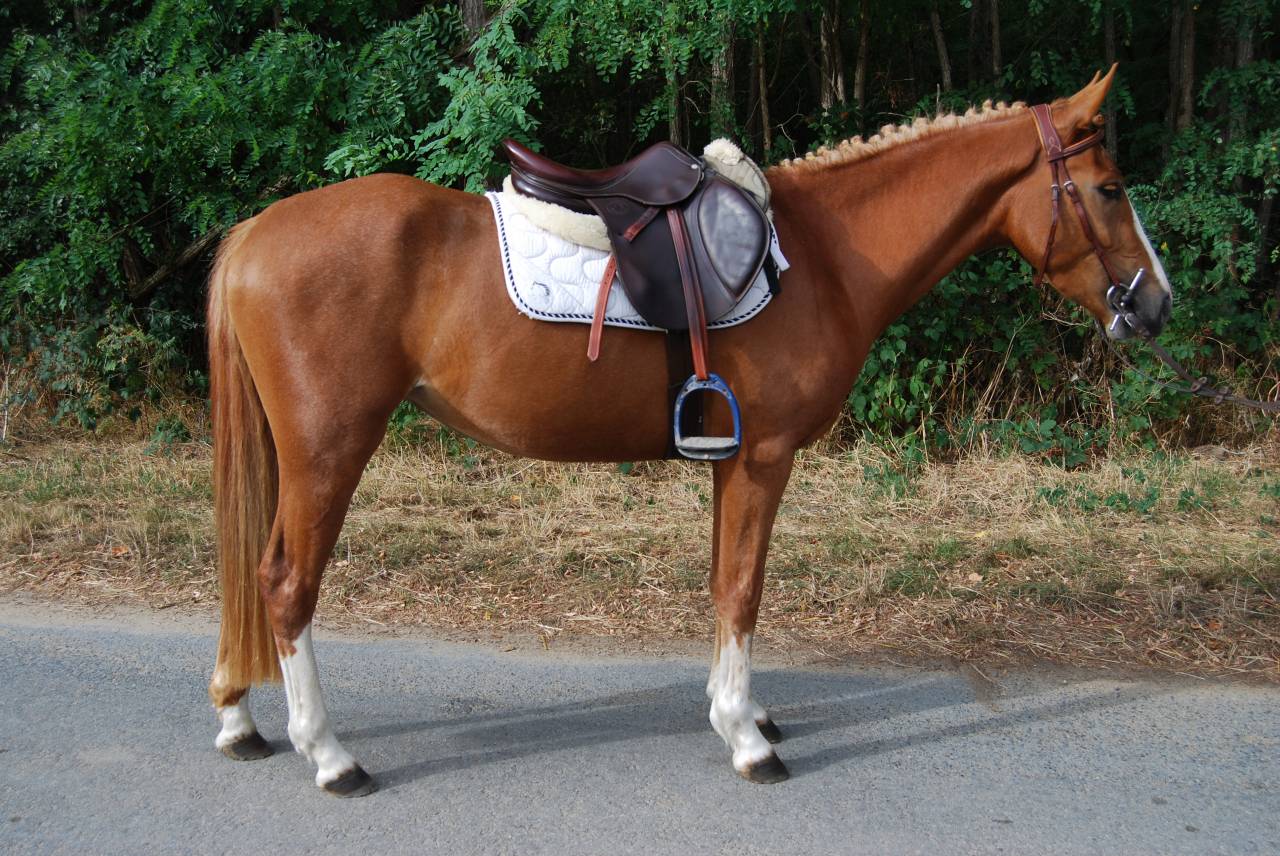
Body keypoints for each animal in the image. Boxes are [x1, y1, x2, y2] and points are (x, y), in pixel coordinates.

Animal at [205, 68, 1171, 795]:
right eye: (1110, 189)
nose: (1156, 304)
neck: (822, 256)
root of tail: (253, 230)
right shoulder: (764, 458)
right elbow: (742, 589)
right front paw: (746, 737)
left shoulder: (727, 458)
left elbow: (720, 583)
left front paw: (738, 709)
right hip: (329, 450)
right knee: (284, 582)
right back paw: (330, 756)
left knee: (250, 575)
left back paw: (239, 718)